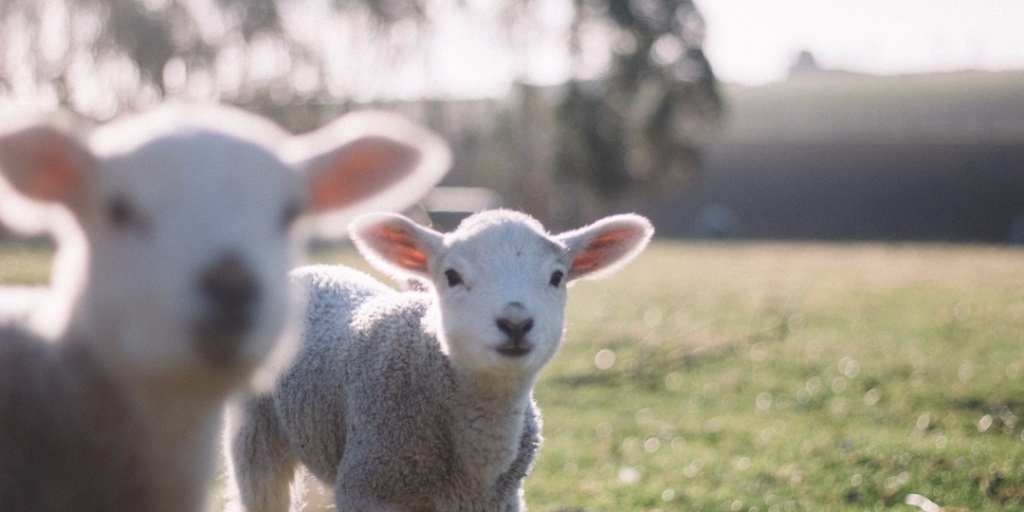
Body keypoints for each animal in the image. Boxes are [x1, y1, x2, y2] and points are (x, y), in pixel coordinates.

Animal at [227, 208, 651, 512]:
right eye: (452, 275)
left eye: (557, 277)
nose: (515, 323)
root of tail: (317, 270)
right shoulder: (369, 486)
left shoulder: (499, 499)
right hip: (255, 437)